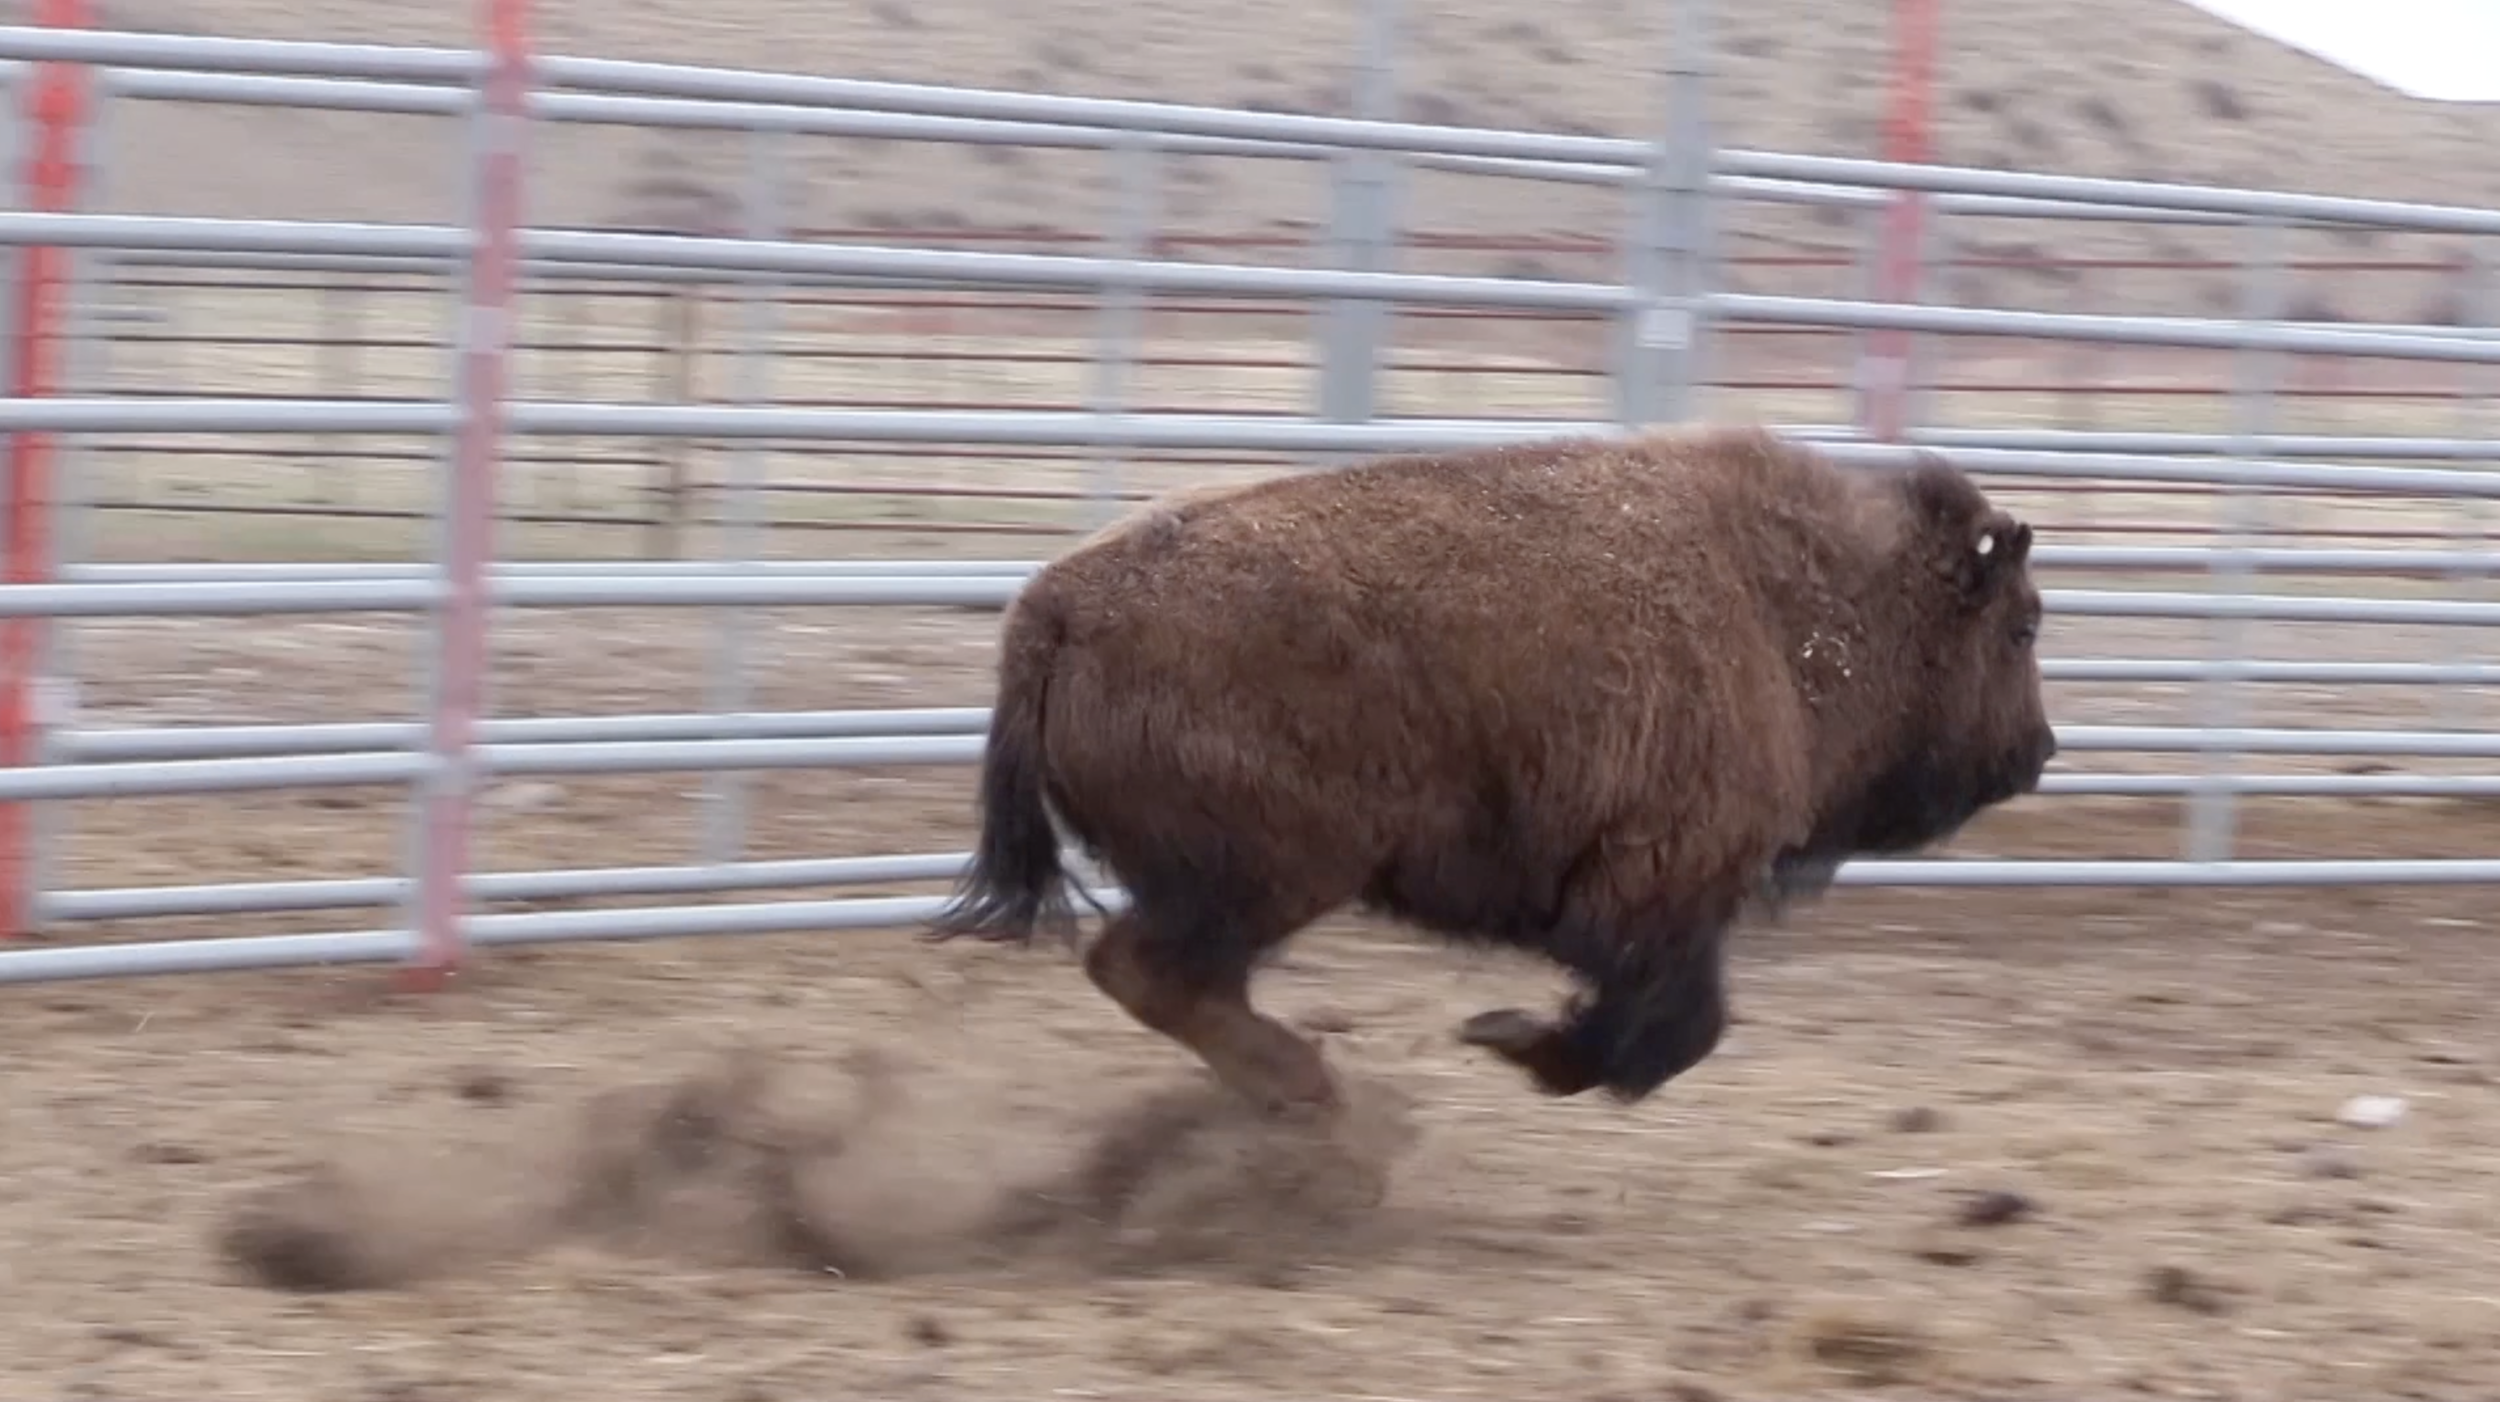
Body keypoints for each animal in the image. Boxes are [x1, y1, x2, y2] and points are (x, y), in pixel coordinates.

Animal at [920, 419, 2050, 1119]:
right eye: (2023, 625)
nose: (2037, 752)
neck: (1784, 605)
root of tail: (1055, 607)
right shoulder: (1663, 889)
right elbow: (1682, 1023)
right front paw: (1513, 1039)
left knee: (1172, 979)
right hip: (1265, 876)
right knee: (1151, 971)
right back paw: (1315, 1092)